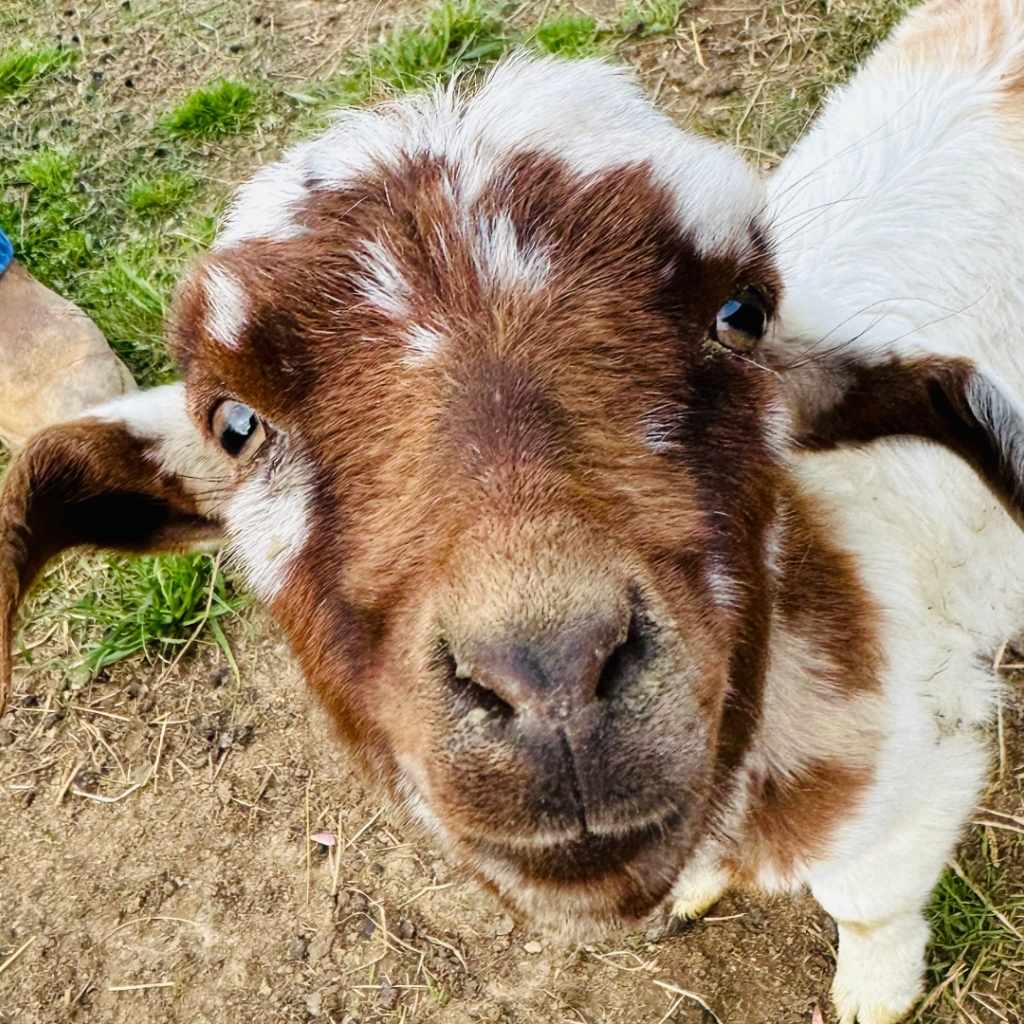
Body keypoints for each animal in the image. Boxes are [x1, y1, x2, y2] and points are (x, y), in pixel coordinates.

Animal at [3, 3, 1023, 1021]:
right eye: (235, 425)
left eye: (742, 313)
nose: (549, 675)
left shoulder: (924, 764)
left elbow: (869, 899)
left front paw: (872, 993)